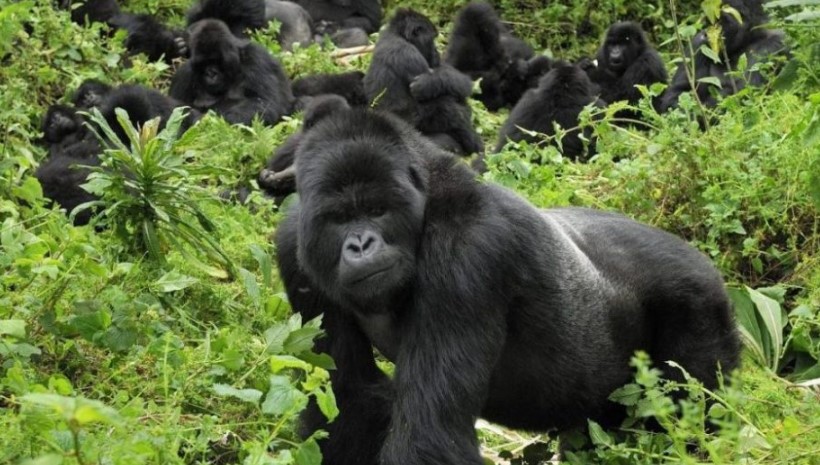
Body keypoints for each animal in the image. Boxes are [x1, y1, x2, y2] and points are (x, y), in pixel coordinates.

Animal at [276, 105, 744, 464]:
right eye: (340, 218)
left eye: (377, 210)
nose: (360, 244)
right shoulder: (295, 245)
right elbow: (347, 401)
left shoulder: (468, 251)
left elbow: (429, 435)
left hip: (701, 302)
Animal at [364, 9, 484, 156]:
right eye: (431, 39)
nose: (437, 53)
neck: (398, 35)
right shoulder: (408, 54)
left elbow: (453, 78)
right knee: (449, 107)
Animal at [660, 0, 788, 110]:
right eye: (711, 20)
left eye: (721, 21)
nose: (707, 34)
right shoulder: (698, 44)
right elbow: (675, 95)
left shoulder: (774, 44)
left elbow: (747, 93)